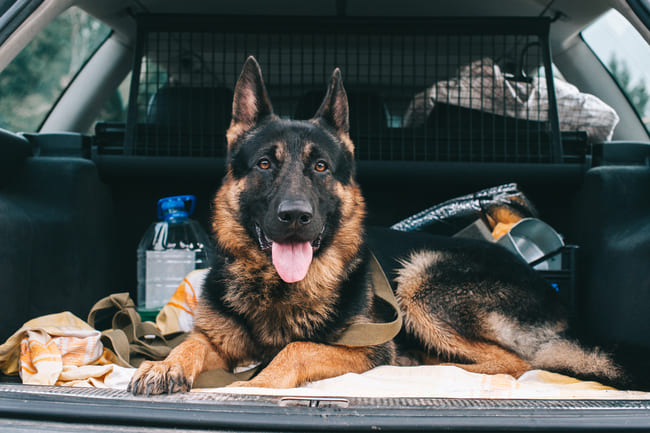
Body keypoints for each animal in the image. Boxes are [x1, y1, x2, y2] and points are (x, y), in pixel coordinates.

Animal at [126, 57, 616, 394]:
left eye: (321, 167)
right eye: (265, 164)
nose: (295, 216)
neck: (279, 288)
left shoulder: (363, 348)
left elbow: (297, 348)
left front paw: (257, 383)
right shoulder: (217, 340)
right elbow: (189, 343)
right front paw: (165, 364)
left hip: (421, 279)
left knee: (515, 361)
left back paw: (422, 364)